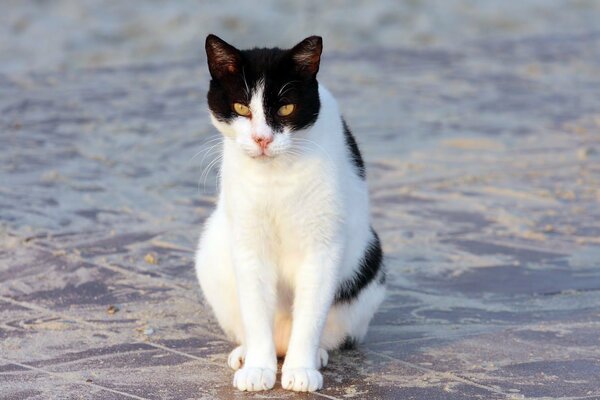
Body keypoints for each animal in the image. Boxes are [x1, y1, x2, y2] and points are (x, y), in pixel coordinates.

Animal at [195, 33, 386, 390]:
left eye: (286, 107)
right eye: (241, 108)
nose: (262, 139)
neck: (276, 176)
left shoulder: (322, 248)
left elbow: (310, 317)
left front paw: (301, 370)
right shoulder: (249, 244)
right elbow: (256, 312)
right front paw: (258, 368)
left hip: (370, 266)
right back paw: (247, 354)